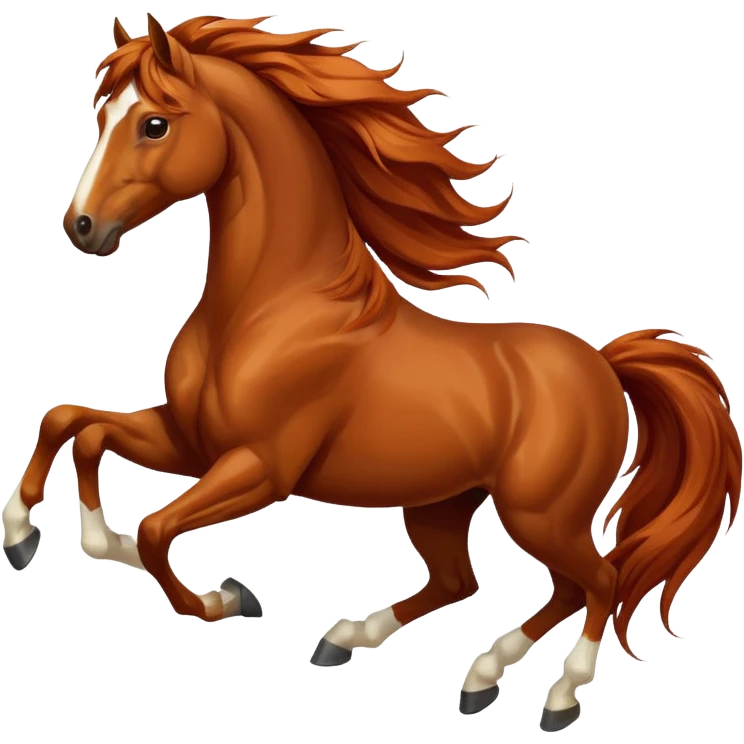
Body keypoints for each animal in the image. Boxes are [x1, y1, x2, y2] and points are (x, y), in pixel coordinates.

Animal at [3, 13, 741, 732]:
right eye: (102, 116)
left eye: (153, 123)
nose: (82, 226)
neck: (270, 307)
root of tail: (604, 364)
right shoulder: (191, 441)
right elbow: (75, 426)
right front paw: (29, 536)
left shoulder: (262, 467)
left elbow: (155, 529)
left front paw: (226, 598)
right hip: (445, 504)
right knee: (479, 582)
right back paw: (427, 663)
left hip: (541, 513)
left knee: (598, 582)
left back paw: (558, 698)